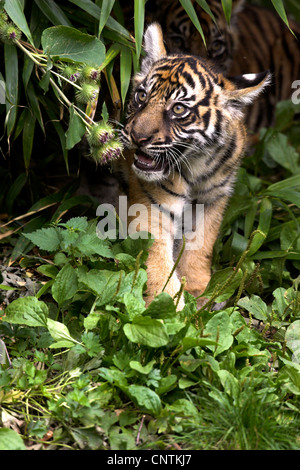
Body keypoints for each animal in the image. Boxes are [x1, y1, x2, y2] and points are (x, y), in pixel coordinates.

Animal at [119, 23, 270, 308]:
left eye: (178, 109)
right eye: (141, 95)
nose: (137, 137)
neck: (195, 165)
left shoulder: (213, 199)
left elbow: (201, 246)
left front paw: (200, 293)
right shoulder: (150, 203)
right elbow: (157, 259)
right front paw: (167, 304)